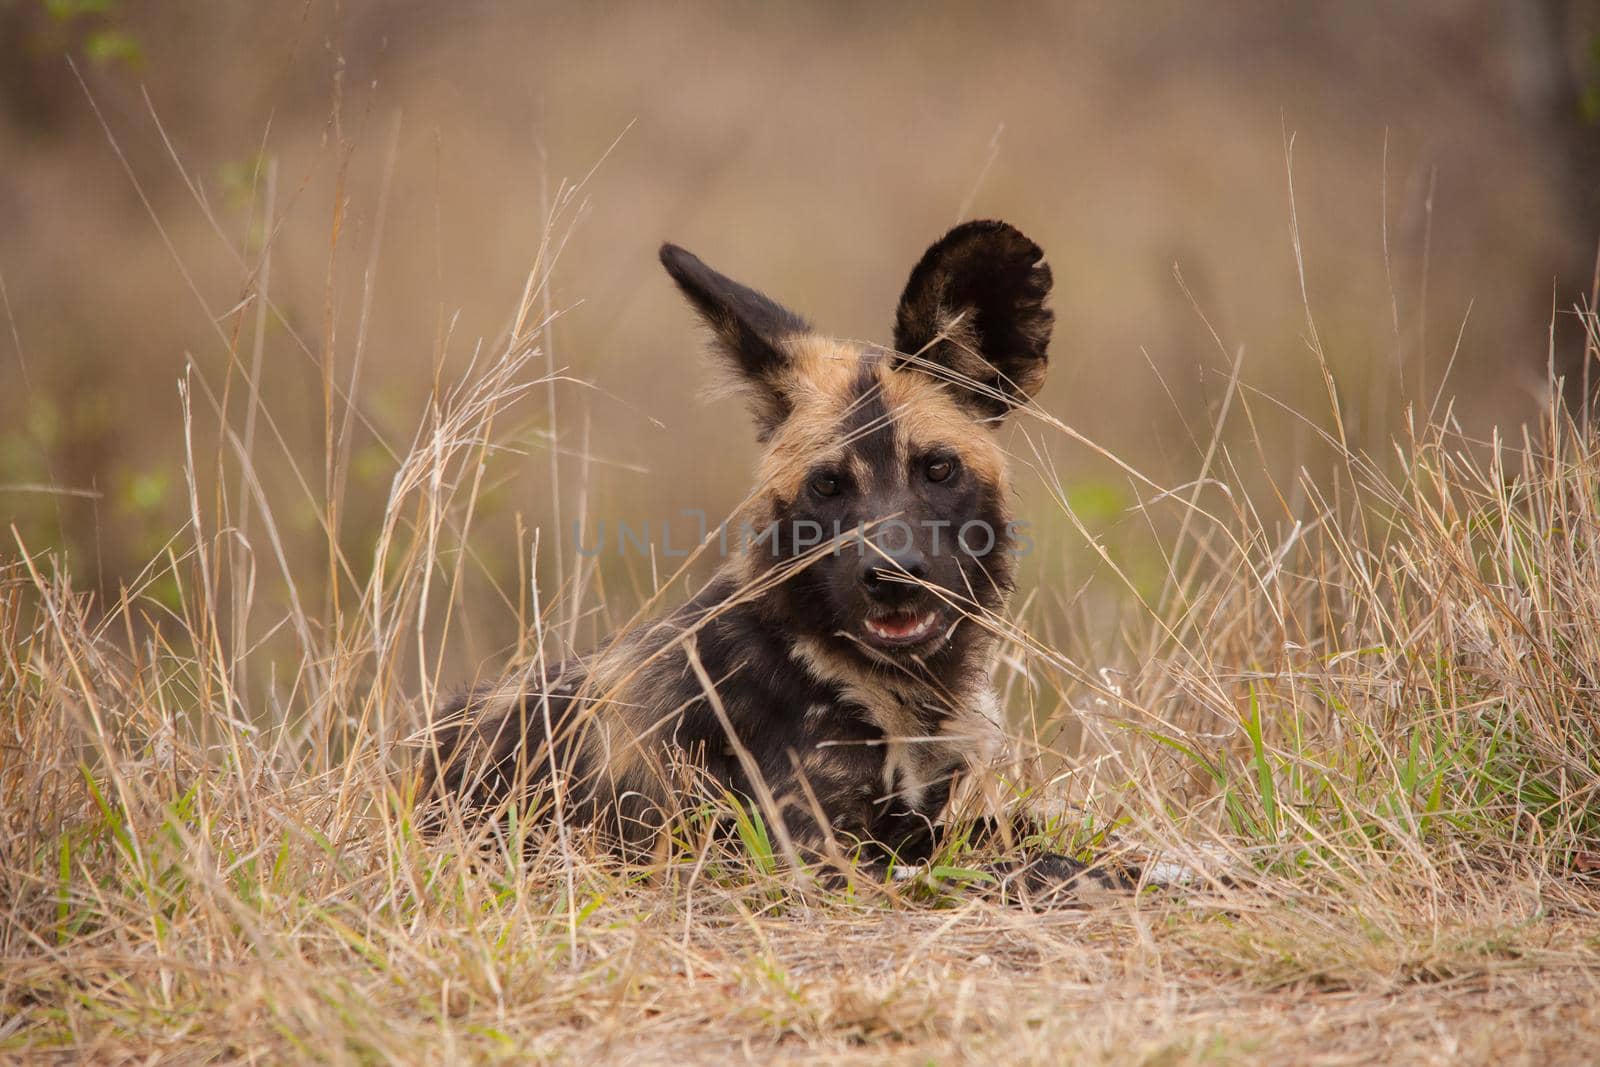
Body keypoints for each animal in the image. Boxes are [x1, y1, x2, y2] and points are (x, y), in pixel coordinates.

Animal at [419, 220, 1107, 889]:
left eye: (938, 468)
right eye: (827, 485)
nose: (892, 575)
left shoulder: (925, 820)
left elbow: (1024, 831)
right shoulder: (815, 861)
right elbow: (1020, 866)